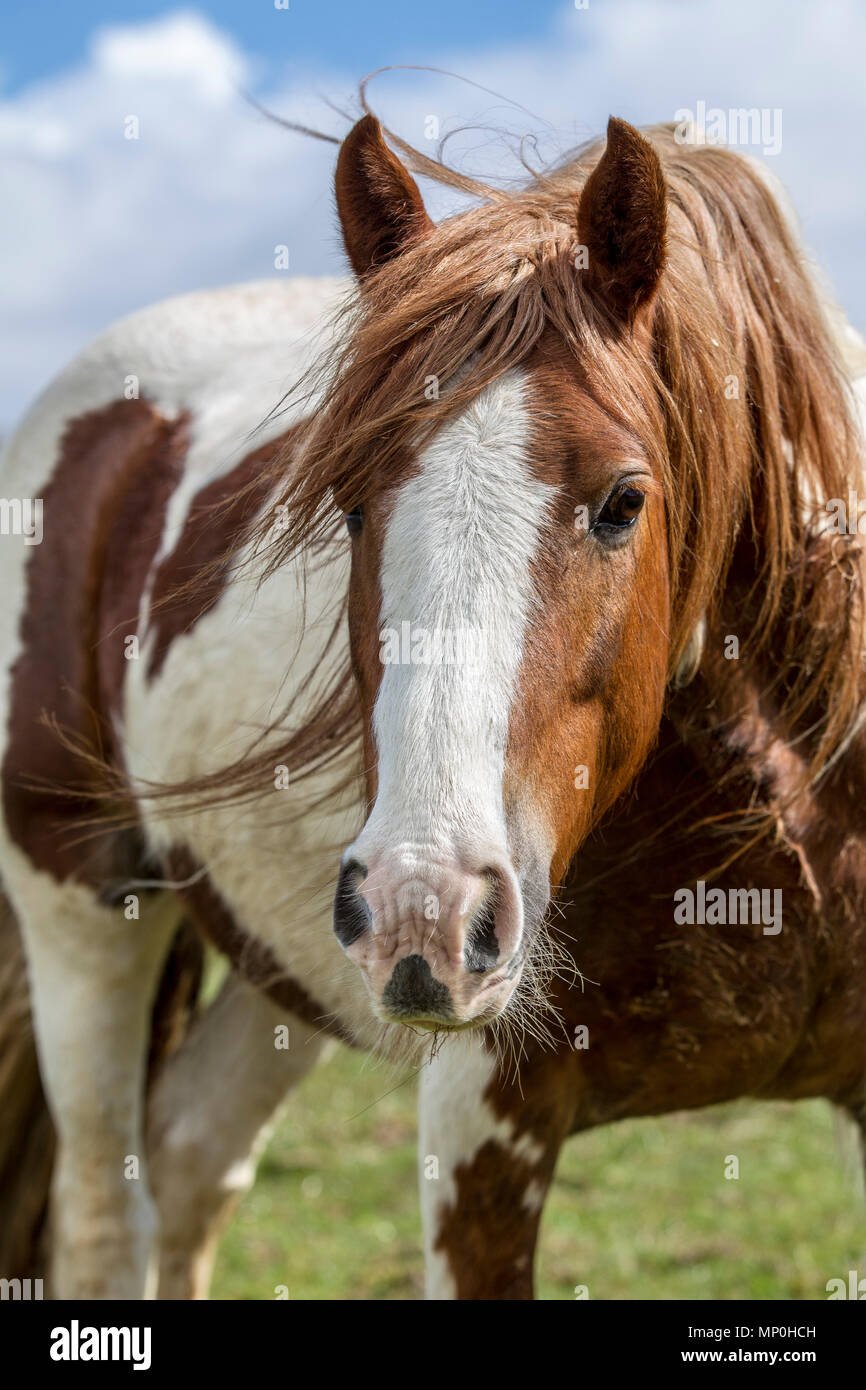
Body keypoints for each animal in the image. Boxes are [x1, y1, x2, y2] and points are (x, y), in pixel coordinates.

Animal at [1, 111, 866, 1301]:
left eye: (623, 500)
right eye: (347, 504)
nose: (423, 909)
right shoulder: (479, 1123)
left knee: (188, 1156)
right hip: (81, 905)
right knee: (102, 1218)